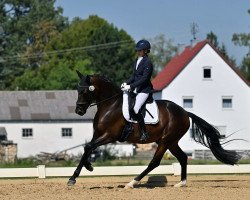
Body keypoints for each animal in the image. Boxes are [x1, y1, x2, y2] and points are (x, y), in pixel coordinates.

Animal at [67, 71, 241, 188]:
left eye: (85, 91)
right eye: (77, 90)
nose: (79, 111)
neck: (110, 105)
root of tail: (185, 112)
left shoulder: (110, 136)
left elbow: (89, 147)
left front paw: (74, 177)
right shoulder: (97, 134)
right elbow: (87, 148)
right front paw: (87, 167)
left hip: (165, 140)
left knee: (154, 162)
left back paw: (132, 182)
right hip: (171, 141)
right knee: (183, 157)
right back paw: (181, 183)